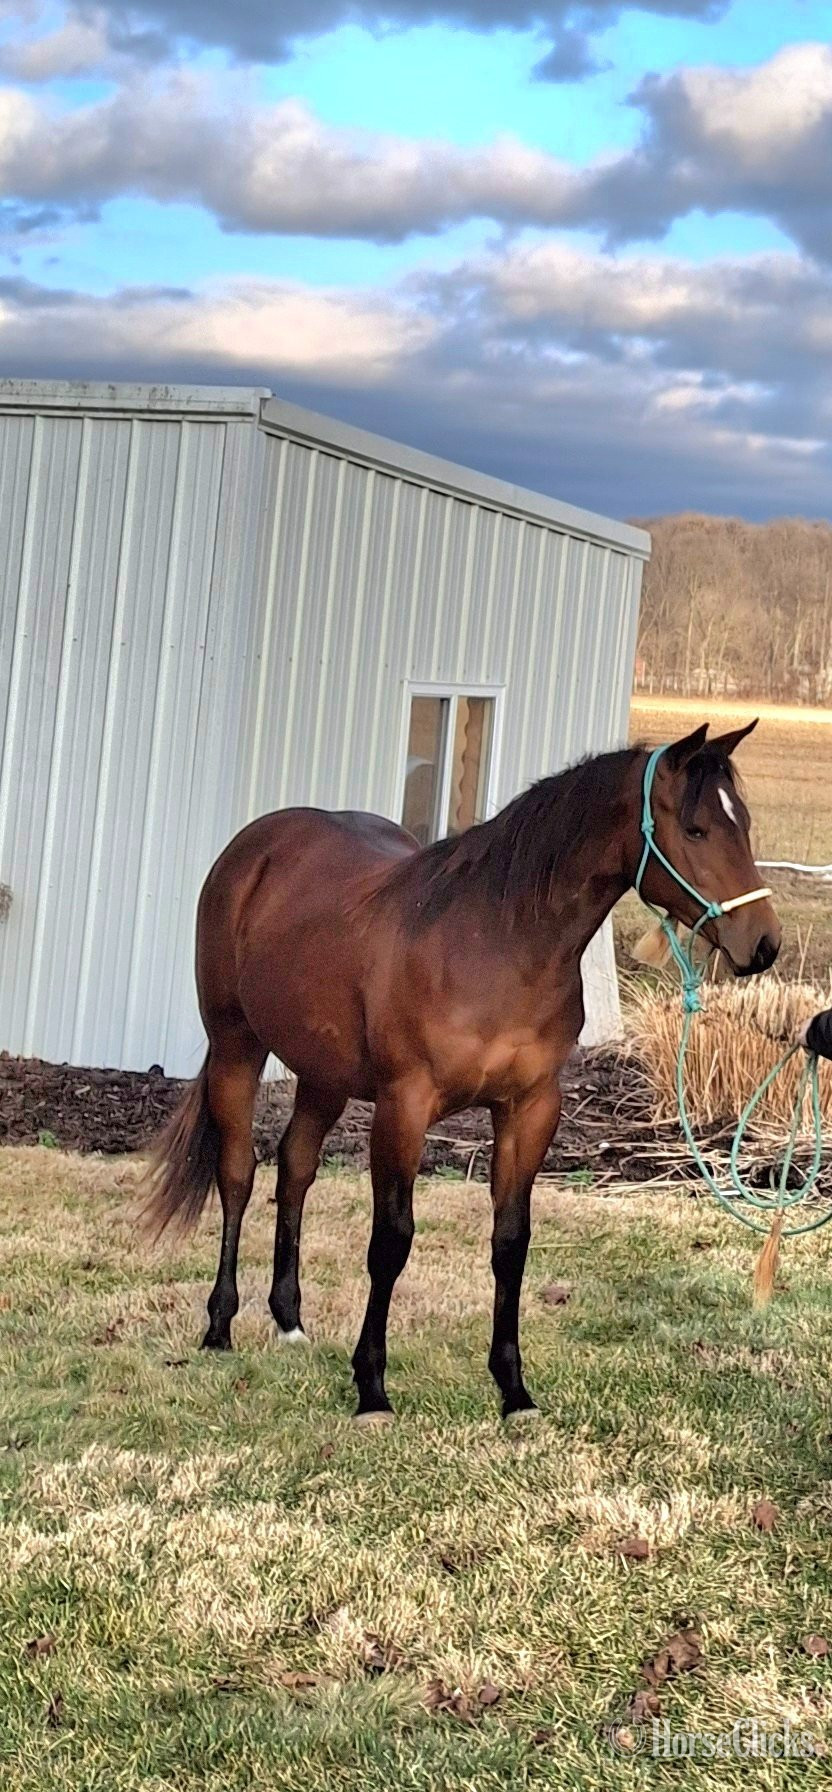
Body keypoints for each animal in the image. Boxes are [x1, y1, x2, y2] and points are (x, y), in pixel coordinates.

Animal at [143, 721, 780, 1421]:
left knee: (295, 1168)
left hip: (323, 1073)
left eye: (744, 823)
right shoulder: (405, 1106)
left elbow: (511, 1243)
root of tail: (253, 848)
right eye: (695, 829)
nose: (764, 944)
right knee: (238, 1174)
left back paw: (288, 1321)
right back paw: (219, 1327)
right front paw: (372, 1388)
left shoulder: (531, 1108)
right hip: (237, 1046)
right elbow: (391, 1242)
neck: (495, 944)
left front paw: (513, 1388)